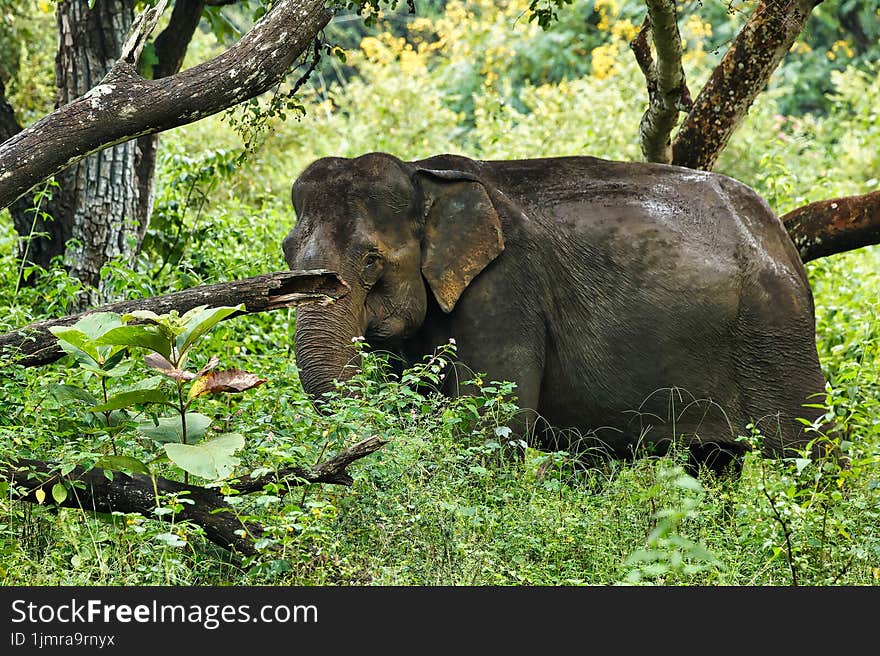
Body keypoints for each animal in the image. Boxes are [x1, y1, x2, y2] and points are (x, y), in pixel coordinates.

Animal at [280, 151, 824, 474]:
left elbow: (490, 429)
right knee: (713, 464)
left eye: (371, 260)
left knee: (804, 451)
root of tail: (781, 235)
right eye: (286, 252)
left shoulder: (504, 290)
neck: (425, 177)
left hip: (776, 336)